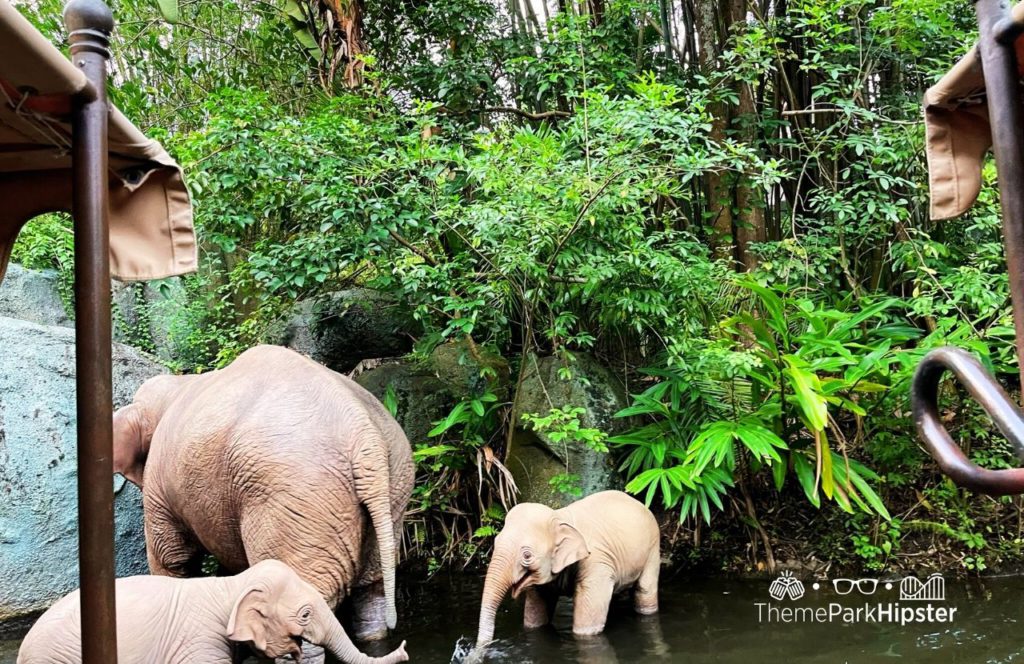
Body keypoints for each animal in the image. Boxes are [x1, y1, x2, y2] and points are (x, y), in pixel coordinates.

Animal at [114, 344, 413, 655]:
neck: (177, 385)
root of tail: (365, 438)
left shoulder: (160, 487)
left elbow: (172, 559)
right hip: (394, 488)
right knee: (372, 590)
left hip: (298, 503)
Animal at [475, 489, 659, 647]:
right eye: (495, 542)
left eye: (527, 555)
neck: (560, 517)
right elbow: (536, 617)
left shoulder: (597, 562)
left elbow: (585, 629)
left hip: (653, 549)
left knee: (644, 590)